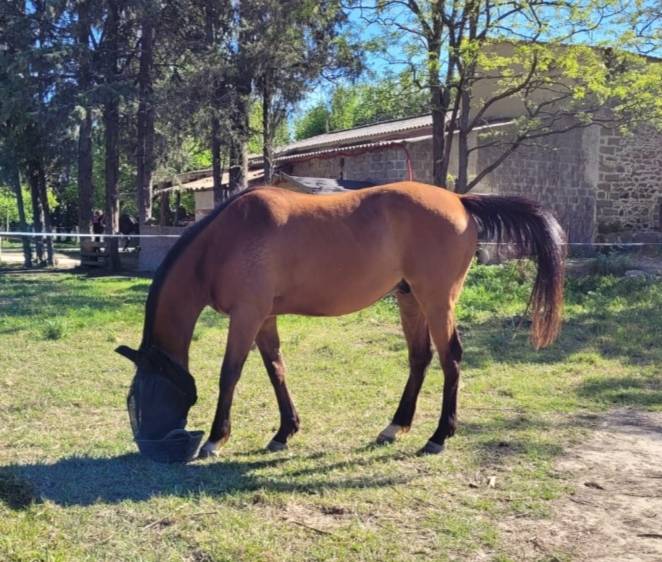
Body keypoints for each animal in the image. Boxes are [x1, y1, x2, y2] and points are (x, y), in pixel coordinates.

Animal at [116, 181, 565, 458]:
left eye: (142, 394)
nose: (148, 444)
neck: (224, 240)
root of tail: (460, 201)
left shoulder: (246, 316)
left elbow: (231, 374)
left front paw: (215, 440)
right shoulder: (264, 318)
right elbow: (276, 369)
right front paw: (284, 432)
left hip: (438, 302)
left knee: (450, 358)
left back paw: (438, 437)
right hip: (410, 300)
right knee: (419, 359)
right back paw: (394, 427)